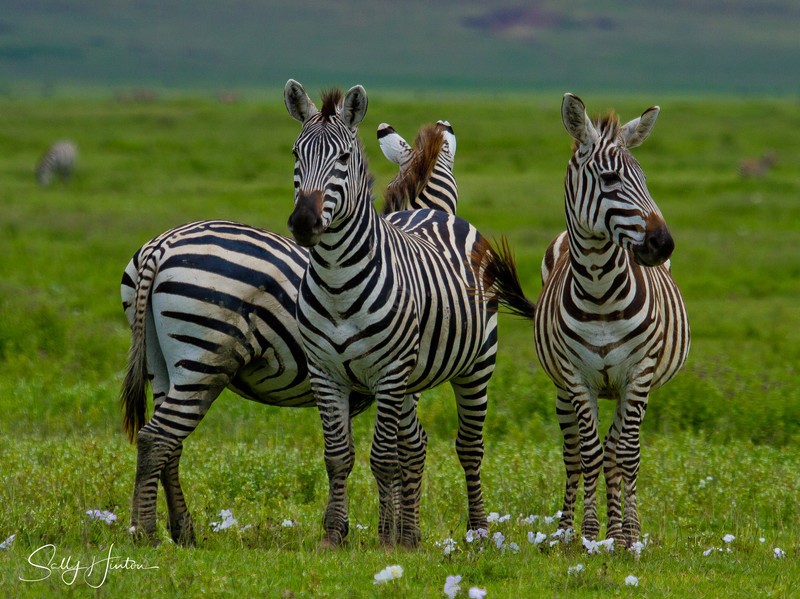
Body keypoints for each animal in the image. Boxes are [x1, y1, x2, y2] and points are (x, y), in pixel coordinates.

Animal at [119, 118, 462, 546]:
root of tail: (161, 247)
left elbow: (356, 449)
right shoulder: (402, 377)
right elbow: (410, 449)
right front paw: (405, 537)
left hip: (161, 362)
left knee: (170, 445)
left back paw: (183, 531)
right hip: (203, 356)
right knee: (158, 439)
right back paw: (146, 534)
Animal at [284, 79, 525, 549]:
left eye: (343, 158)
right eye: (295, 154)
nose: (304, 223)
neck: (337, 281)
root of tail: (433, 212)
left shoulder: (391, 371)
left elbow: (382, 457)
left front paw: (384, 540)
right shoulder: (325, 372)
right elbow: (339, 456)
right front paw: (336, 535)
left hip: (476, 366)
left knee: (468, 447)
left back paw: (476, 530)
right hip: (410, 381)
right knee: (414, 445)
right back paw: (407, 531)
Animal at [487, 93, 690, 547]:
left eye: (645, 178)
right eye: (611, 179)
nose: (663, 243)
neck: (600, 293)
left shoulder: (638, 374)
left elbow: (626, 455)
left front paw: (626, 537)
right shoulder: (576, 377)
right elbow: (590, 454)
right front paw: (591, 534)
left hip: (631, 389)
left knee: (619, 452)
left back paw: (623, 528)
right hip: (567, 389)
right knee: (575, 454)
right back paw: (566, 530)